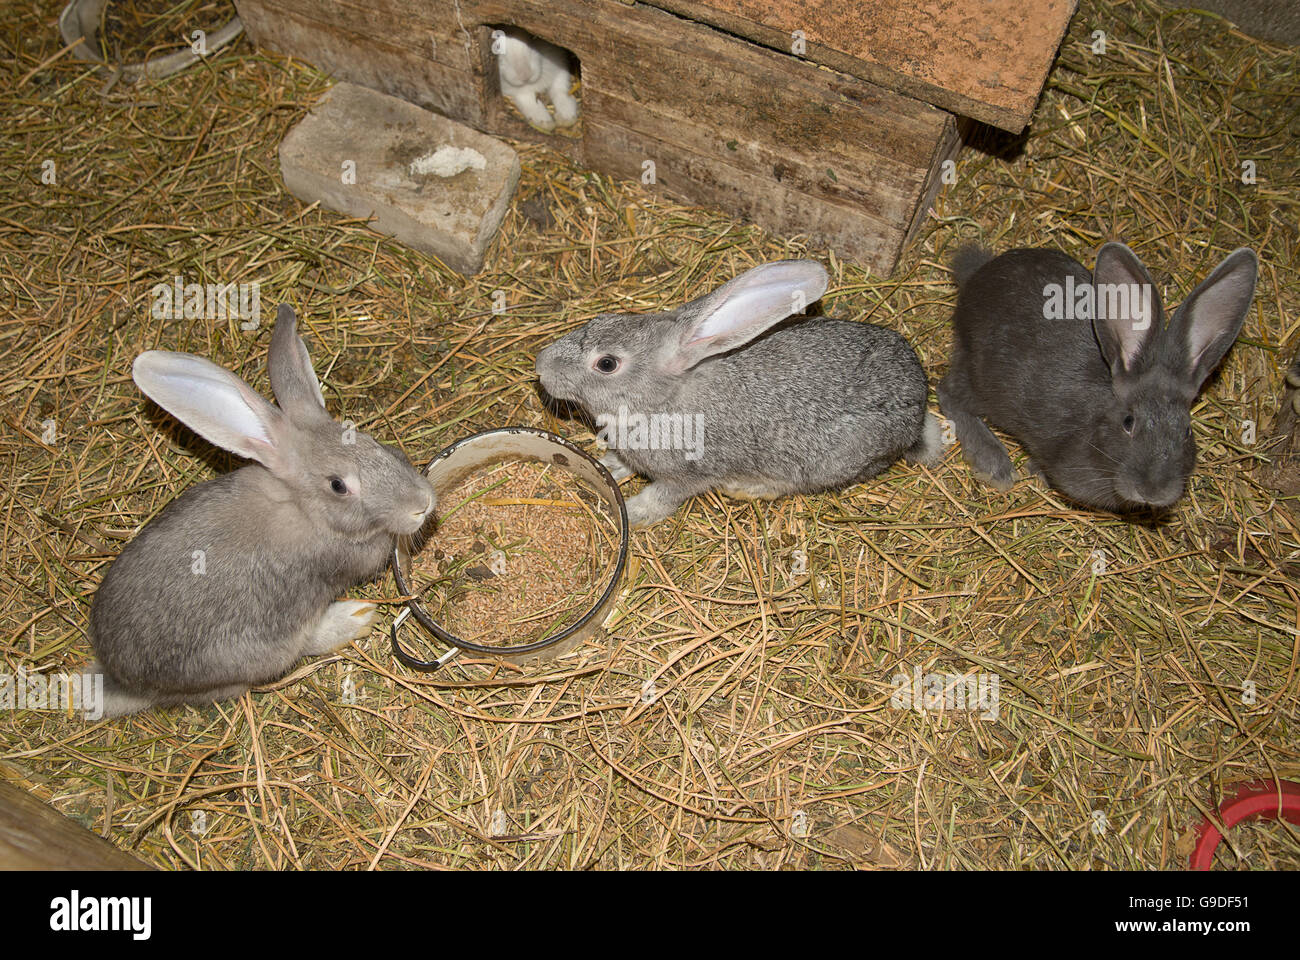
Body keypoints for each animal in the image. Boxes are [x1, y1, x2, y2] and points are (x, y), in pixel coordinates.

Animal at [90, 303, 441, 712]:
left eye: (370, 440)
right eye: (338, 485)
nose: (422, 503)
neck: (304, 507)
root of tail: (125, 684)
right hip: (267, 647)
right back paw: (355, 616)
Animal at [533, 260, 941, 522]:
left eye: (607, 364)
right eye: (600, 318)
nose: (541, 365)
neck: (661, 398)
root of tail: (919, 408)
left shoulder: (690, 475)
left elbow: (663, 497)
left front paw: (632, 514)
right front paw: (606, 466)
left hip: (830, 462)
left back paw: (747, 488)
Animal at [941, 240, 1253, 509]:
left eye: (1187, 431)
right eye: (1129, 422)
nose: (1153, 490)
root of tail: (978, 276)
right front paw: (1030, 469)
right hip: (982, 380)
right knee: (949, 393)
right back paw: (994, 464)